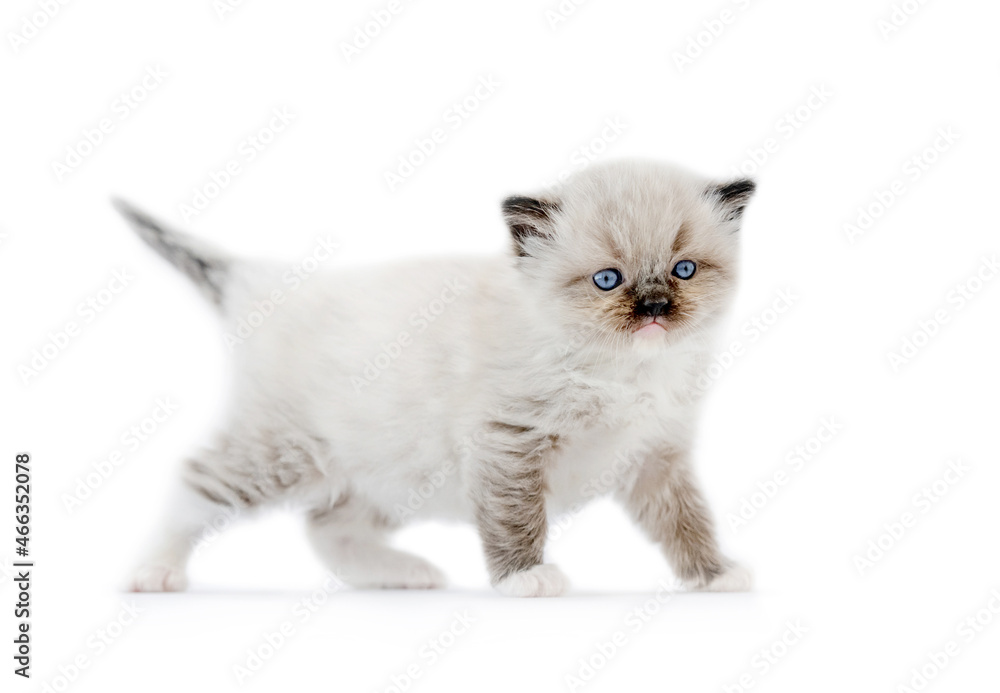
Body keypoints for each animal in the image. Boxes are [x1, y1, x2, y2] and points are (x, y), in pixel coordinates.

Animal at [115, 157, 756, 596]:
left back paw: (403, 574)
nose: (654, 309)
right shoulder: (510, 442)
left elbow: (687, 522)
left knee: (327, 527)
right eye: (607, 280)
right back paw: (152, 571)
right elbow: (516, 519)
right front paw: (526, 579)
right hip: (281, 455)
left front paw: (716, 575)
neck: (624, 367)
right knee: (195, 485)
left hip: (387, 468)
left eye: (684, 270)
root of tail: (270, 285)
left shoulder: (655, 456)